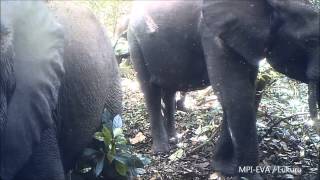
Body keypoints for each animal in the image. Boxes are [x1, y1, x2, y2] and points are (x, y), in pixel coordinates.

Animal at [127, 0, 318, 177]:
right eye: (309, 41)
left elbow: (245, 91)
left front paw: (223, 167)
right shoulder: (212, 34)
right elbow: (234, 92)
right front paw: (246, 175)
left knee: (169, 90)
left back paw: (175, 140)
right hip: (134, 41)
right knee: (150, 90)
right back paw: (162, 150)